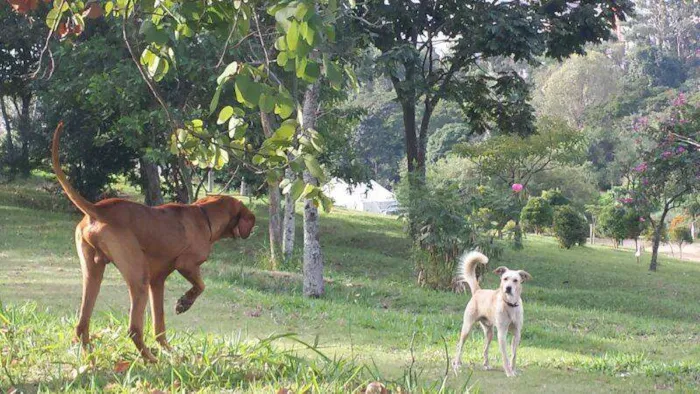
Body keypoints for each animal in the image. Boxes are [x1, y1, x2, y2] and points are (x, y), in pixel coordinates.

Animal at [50, 122, 256, 360]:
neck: (204, 216)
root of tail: (98, 210)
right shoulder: (186, 265)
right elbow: (201, 285)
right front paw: (184, 303)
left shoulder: (157, 282)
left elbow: (160, 325)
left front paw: (170, 350)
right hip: (138, 278)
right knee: (133, 329)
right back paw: (149, 359)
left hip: (93, 274)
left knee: (82, 323)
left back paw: (88, 353)